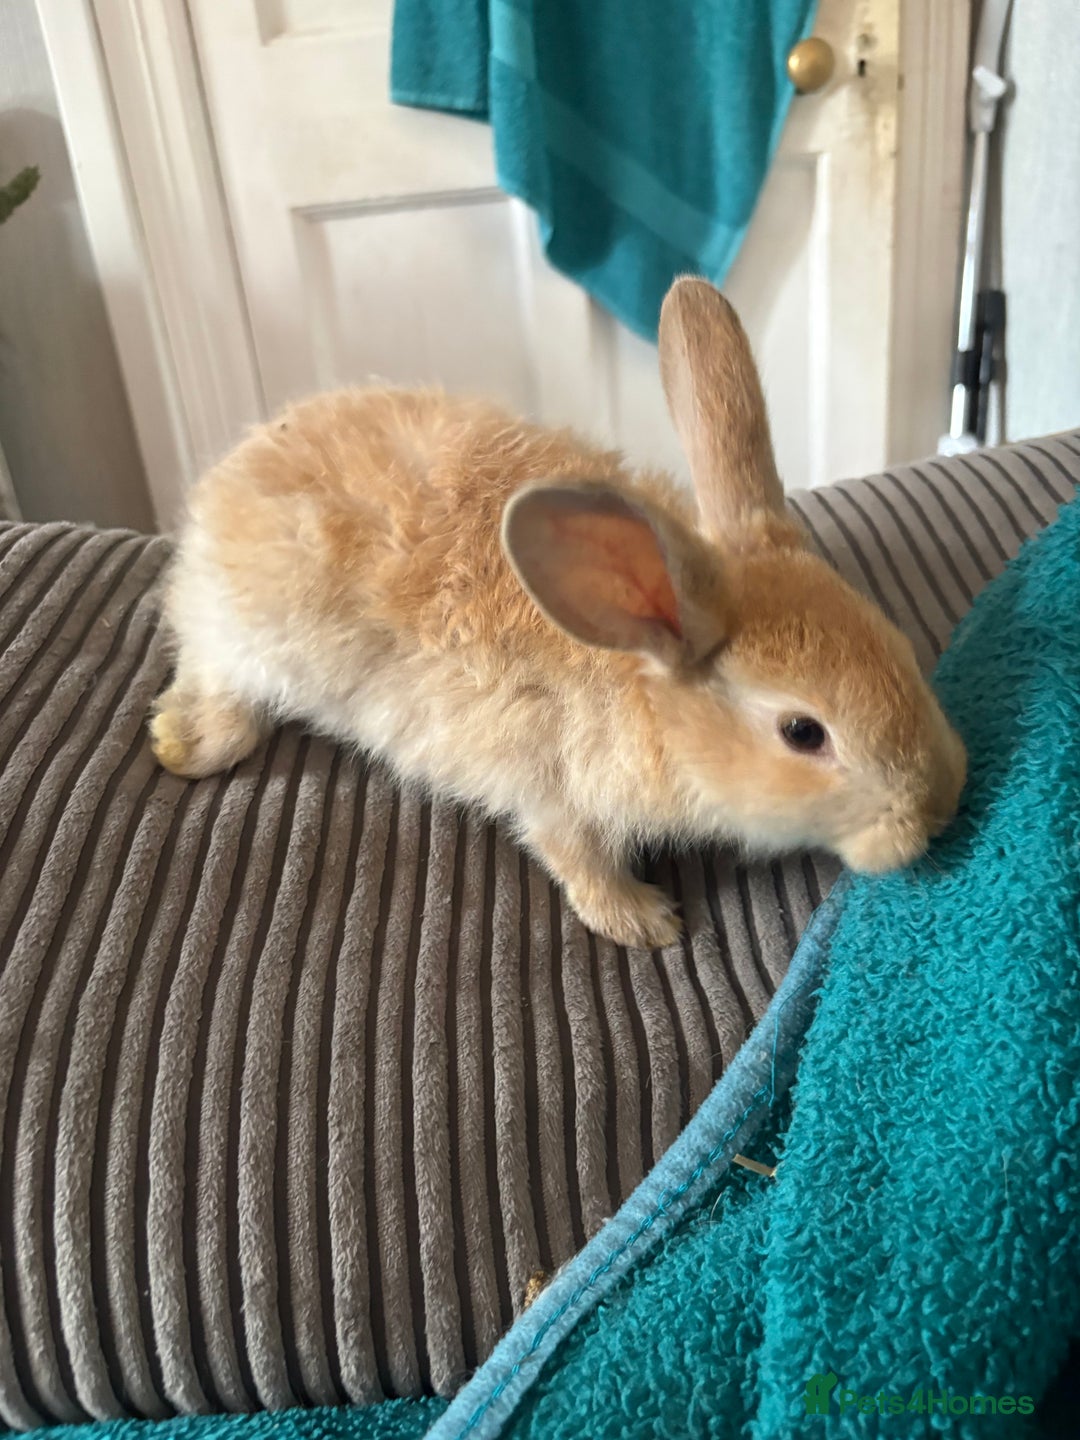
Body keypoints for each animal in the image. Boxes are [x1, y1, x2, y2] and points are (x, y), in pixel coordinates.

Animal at [149, 277, 966, 949]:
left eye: (898, 644)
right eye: (803, 733)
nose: (937, 808)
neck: (649, 697)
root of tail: (229, 480)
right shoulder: (553, 792)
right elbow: (578, 859)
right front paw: (644, 923)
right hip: (255, 641)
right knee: (213, 677)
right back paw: (183, 743)